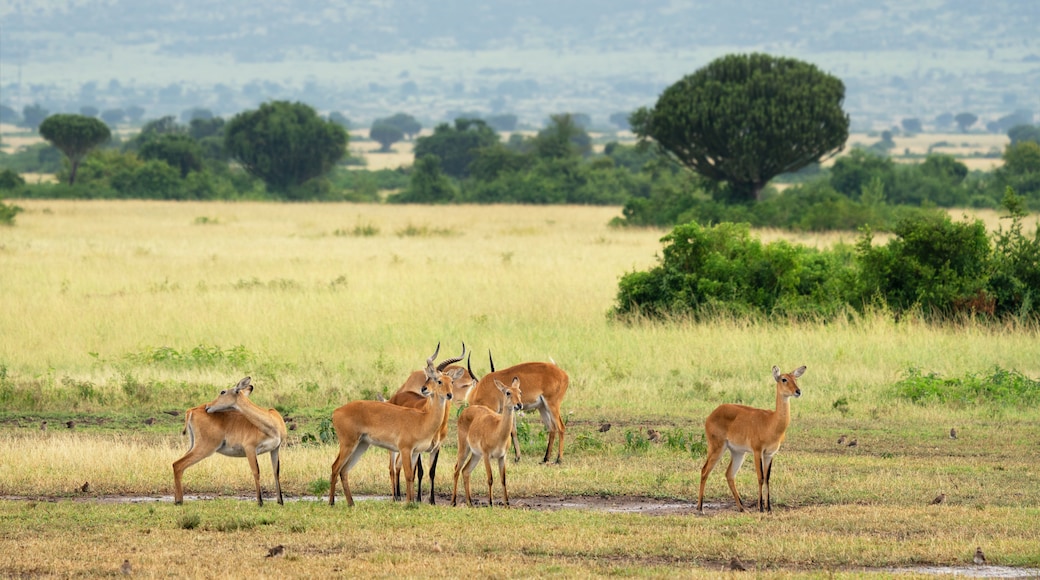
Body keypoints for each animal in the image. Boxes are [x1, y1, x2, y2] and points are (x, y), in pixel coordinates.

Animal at [326, 347, 461, 507]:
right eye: (439, 381)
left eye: (451, 381)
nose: (449, 395)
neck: (423, 418)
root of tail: (336, 411)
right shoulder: (405, 449)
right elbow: (408, 474)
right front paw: (409, 503)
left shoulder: (415, 452)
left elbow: (412, 476)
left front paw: (412, 502)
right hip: (348, 444)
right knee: (335, 467)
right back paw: (331, 503)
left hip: (361, 445)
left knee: (344, 470)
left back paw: (351, 503)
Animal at [386, 345, 476, 505]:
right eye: (433, 378)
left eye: (451, 381)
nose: (424, 389)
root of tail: (395, 396)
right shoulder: (419, 448)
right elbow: (420, 471)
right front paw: (418, 499)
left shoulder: (437, 447)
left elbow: (432, 471)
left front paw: (432, 500)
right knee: (392, 466)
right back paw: (395, 496)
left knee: (397, 465)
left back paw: (399, 495)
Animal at [451, 378, 524, 509]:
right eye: (508, 392)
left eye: (520, 392)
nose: (519, 405)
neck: (497, 432)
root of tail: (465, 410)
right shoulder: (486, 455)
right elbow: (490, 478)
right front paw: (490, 503)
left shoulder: (502, 457)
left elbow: (503, 479)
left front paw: (507, 504)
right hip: (464, 448)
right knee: (456, 469)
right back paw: (453, 502)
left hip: (476, 454)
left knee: (465, 471)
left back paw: (470, 502)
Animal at [698, 365, 802, 515]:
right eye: (784, 379)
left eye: (796, 378)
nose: (798, 391)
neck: (771, 422)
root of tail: (712, 414)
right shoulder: (757, 451)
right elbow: (760, 477)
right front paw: (760, 508)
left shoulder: (770, 454)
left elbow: (768, 479)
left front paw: (769, 508)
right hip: (717, 447)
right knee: (705, 470)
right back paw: (700, 508)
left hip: (738, 453)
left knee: (729, 474)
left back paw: (742, 508)